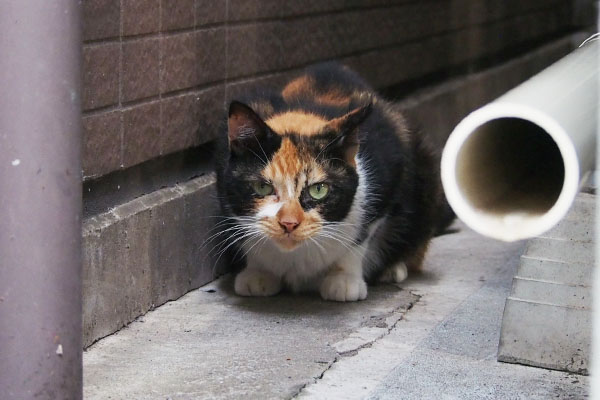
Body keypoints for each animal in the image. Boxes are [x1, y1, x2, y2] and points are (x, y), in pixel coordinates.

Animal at [213, 61, 452, 300]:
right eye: (262, 187)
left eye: (319, 190)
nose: (289, 223)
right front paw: (258, 272)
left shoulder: (390, 164)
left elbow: (361, 236)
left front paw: (344, 279)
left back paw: (394, 268)